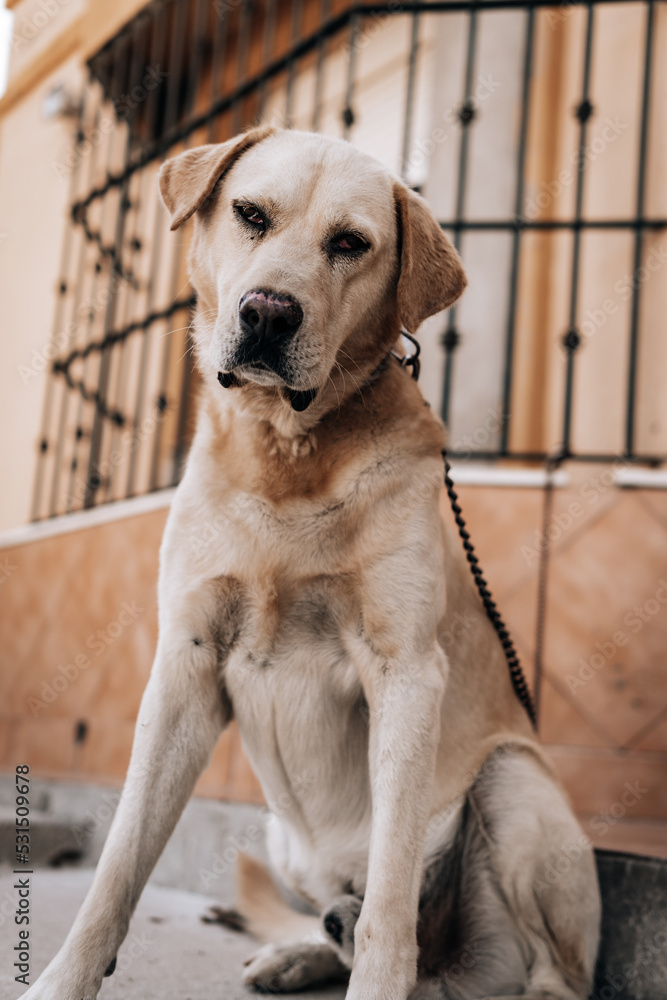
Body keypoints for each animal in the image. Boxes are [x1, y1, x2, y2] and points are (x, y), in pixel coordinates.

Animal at [24, 129, 600, 1000]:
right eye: (250, 214)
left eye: (349, 244)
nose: (267, 312)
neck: (285, 450)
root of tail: (456, 973)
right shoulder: (185, 664)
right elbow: (119, 863)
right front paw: (65, 978)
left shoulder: (405, 672)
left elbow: (389, 902)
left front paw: (377, 973)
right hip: (284, 834)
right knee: (349, 923)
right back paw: (302, 950)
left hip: (512, 779)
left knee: (543, 972)